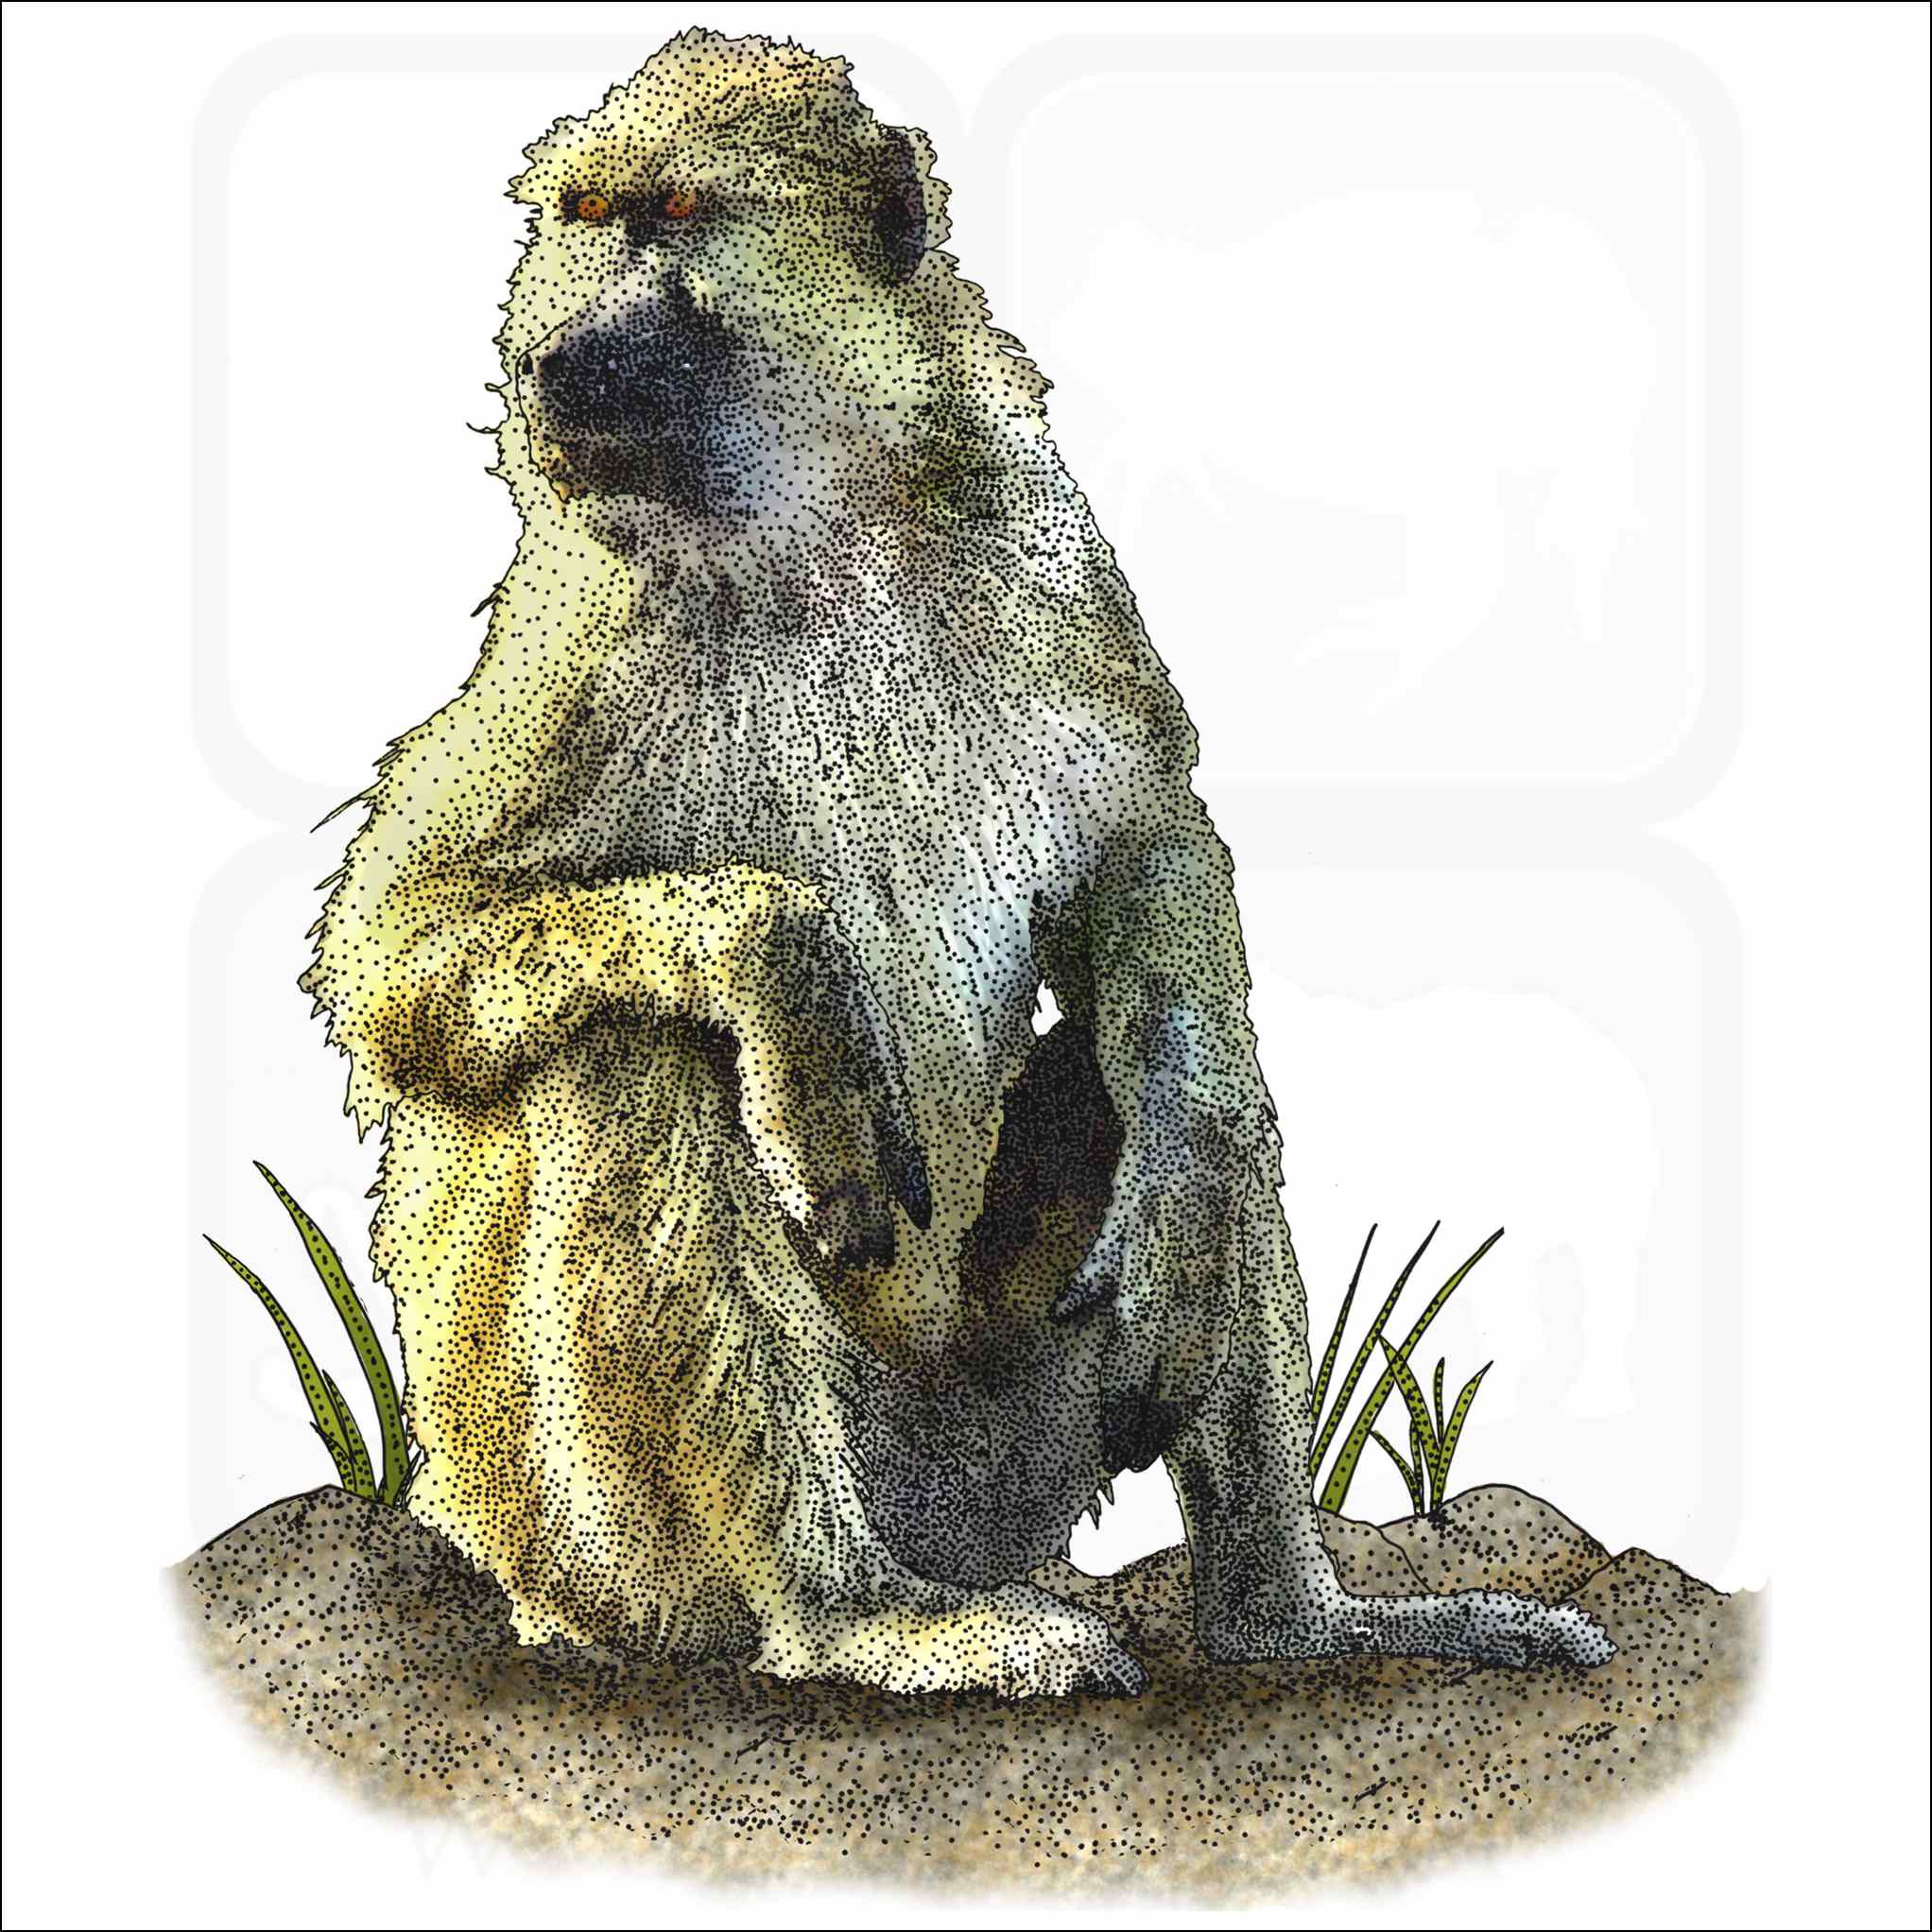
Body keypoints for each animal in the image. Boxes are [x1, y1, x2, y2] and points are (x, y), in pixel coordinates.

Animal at [301, 30, 1613, 1695]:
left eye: (670, 215)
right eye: (584, 216)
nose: (553, 359)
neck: (817, 526)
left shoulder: (1039, 539)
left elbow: (1145, 850)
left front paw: (1186, 1162)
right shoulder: (578, 626)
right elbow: (398, 948)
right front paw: (789, 987)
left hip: (996, 1459)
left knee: (1173, 1114)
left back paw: (1288, 1624)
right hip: (602, 1557)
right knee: (627, 1059)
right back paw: (856, 1617)